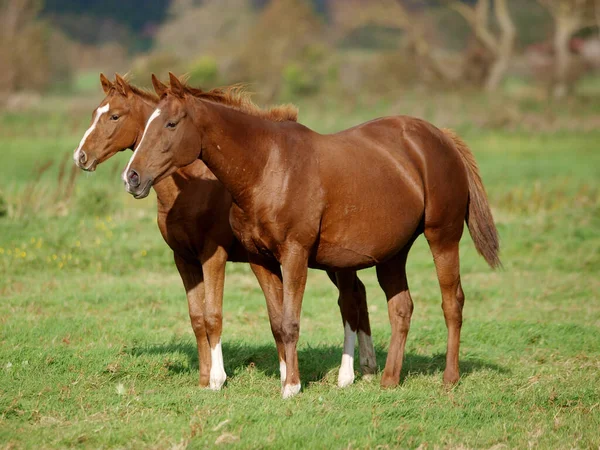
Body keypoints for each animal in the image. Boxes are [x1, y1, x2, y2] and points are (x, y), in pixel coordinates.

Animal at [74, 74, 376, 390]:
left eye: (114, 116)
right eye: (95, 113)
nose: (80, 156)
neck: (194, 186)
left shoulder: (214, 255)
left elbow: (213, 315)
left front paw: (218, 379)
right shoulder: (184, 258)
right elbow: (197, 318)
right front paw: (203, 378)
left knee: (349, 300)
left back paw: (349, 374)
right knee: (359, 293)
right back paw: (367, 367)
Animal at [123, 73, 502, 398]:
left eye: (171, 123)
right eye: (146, 124)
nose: (132, 177)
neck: (268, 166)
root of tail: (441, 137)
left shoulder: (294, 255)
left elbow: (291, 322)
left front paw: (291, 387)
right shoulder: (261, 261)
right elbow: (278, 323)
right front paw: (288, 379)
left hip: (443, 238)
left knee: (452, 303)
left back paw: (449, 378)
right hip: (393, 254)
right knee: (400, 309)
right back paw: (388, 380)